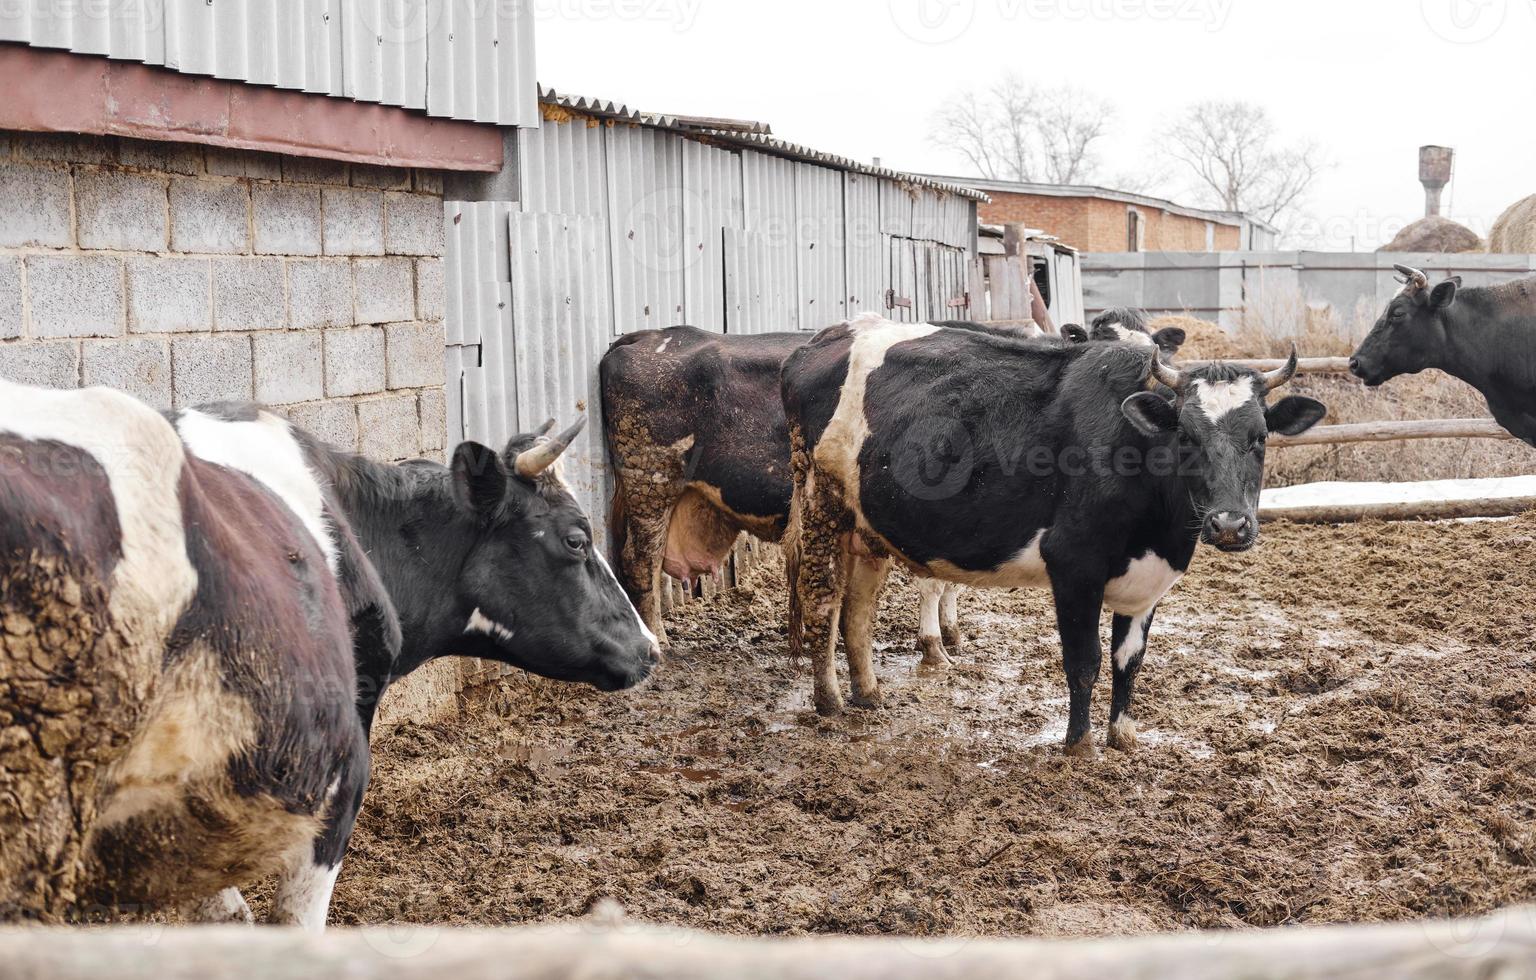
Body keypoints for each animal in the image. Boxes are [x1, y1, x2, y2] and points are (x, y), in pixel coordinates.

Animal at [786, 313, 1327, 752]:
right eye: (1187, 437)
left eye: (1259, 437)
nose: (1229, 525)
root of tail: (825, 339)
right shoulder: (1074, 565)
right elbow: (1084, 661)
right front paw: (1079, 746)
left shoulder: (1148, 580)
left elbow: (1129, 660)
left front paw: (1123, 737)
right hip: (820, 504)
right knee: (822, 603)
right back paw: (830, 702)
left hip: (867, 528)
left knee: (858, 610)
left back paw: (869, 694)